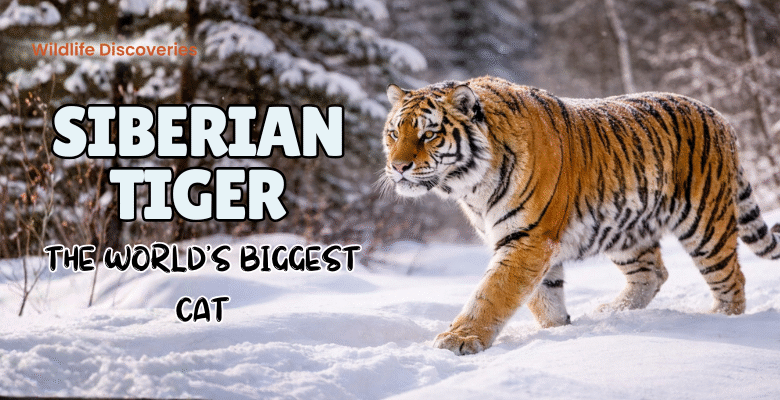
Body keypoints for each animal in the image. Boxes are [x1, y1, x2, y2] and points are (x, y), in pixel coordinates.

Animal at [381, 75, 780, 355]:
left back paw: (721, 322)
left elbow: (492, 292)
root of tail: (720, 118)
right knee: (652, 273)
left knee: (731, 280)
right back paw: (614, 313)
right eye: (393, 134)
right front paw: (559, 329)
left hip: (705, 223)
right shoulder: (526, 241)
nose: (397, 167)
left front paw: (459, 339)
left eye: (429, 135)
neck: (471, 186)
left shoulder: (527, 238)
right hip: (627, 227)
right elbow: (544, 297)